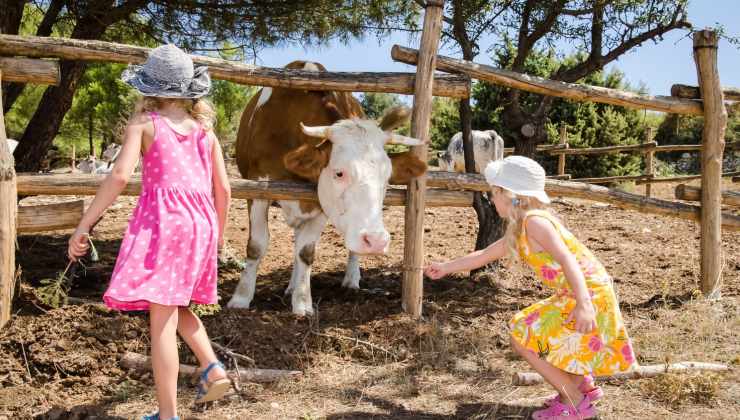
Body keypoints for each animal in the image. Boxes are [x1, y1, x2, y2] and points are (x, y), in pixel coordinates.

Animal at [227, 61, 428, 316]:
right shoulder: (257, 188)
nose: (376, 241)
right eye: (339, 173)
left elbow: (306, 251)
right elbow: (256, 245)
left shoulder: (320, 201)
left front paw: (303, 302)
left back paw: (349, 279)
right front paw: (241, 298)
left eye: (386, 178)